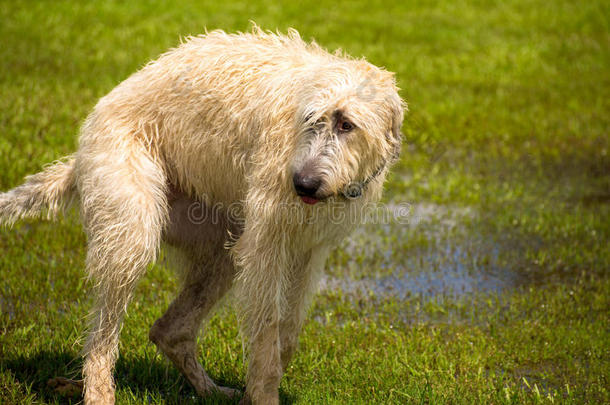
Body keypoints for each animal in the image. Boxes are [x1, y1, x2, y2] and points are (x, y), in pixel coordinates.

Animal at [1, 26, 404, 404]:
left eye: (346, 124)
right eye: (310, 121)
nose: (302, 184)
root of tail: (80, 154)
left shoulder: (310, 251)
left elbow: (286, 332)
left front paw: (255, 388)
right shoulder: (267, 246)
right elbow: (267, 330)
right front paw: (263, 394)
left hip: (218, 246)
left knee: (169, 330)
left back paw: (205, 389)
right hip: (131, 226)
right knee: (104, 331)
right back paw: (97, 389)